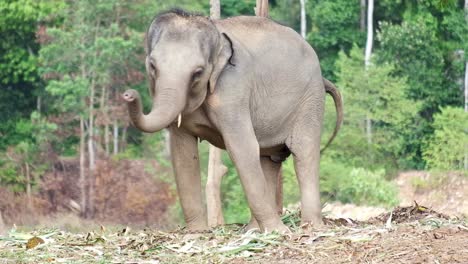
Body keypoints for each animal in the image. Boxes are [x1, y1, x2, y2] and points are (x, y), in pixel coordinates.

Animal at [123, 9, 344, 233]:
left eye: (198, 72)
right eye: (152, 66)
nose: (128, 94)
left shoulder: (233, 89)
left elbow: (242, 148)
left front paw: (279, 232)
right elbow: (183, 153)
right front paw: (196, 233)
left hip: (310, 101)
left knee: (304, 152)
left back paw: (311, 227)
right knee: (267, 158)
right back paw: (253, 230)